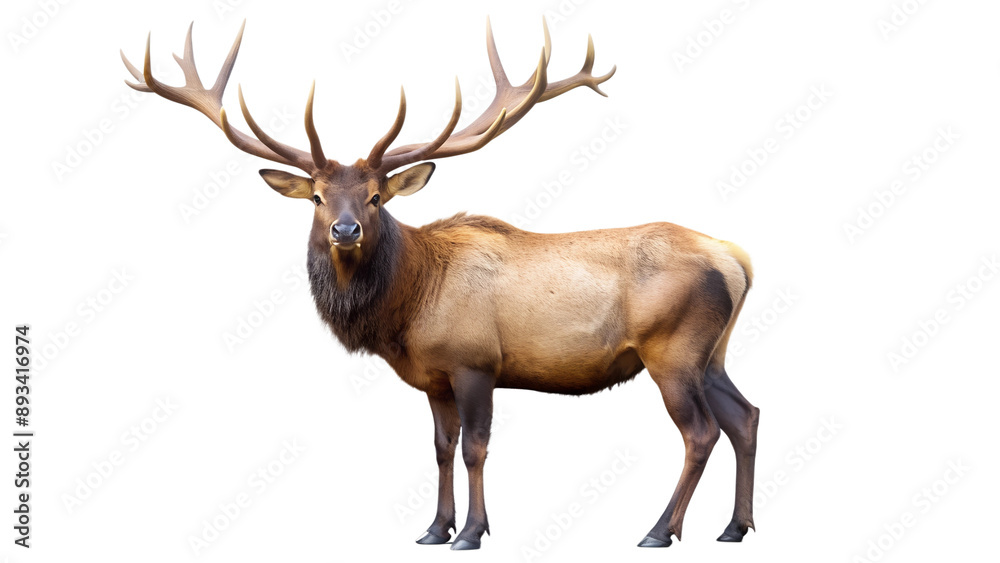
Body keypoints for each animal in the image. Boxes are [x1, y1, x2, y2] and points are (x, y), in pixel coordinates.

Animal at [123, 19, 760, 551]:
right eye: (317, 197)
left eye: (377, 196)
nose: (346, 230)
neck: (404, 310)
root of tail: (737, 260)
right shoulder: (433, 377)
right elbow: (441, 449)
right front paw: (434, 527)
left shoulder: (475, 362)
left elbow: (476, 448)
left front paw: (472, 532)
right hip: (714, 353)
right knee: (745, 416)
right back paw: (735, 526)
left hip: (672, 349)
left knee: (701, 432)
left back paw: (660, 530)